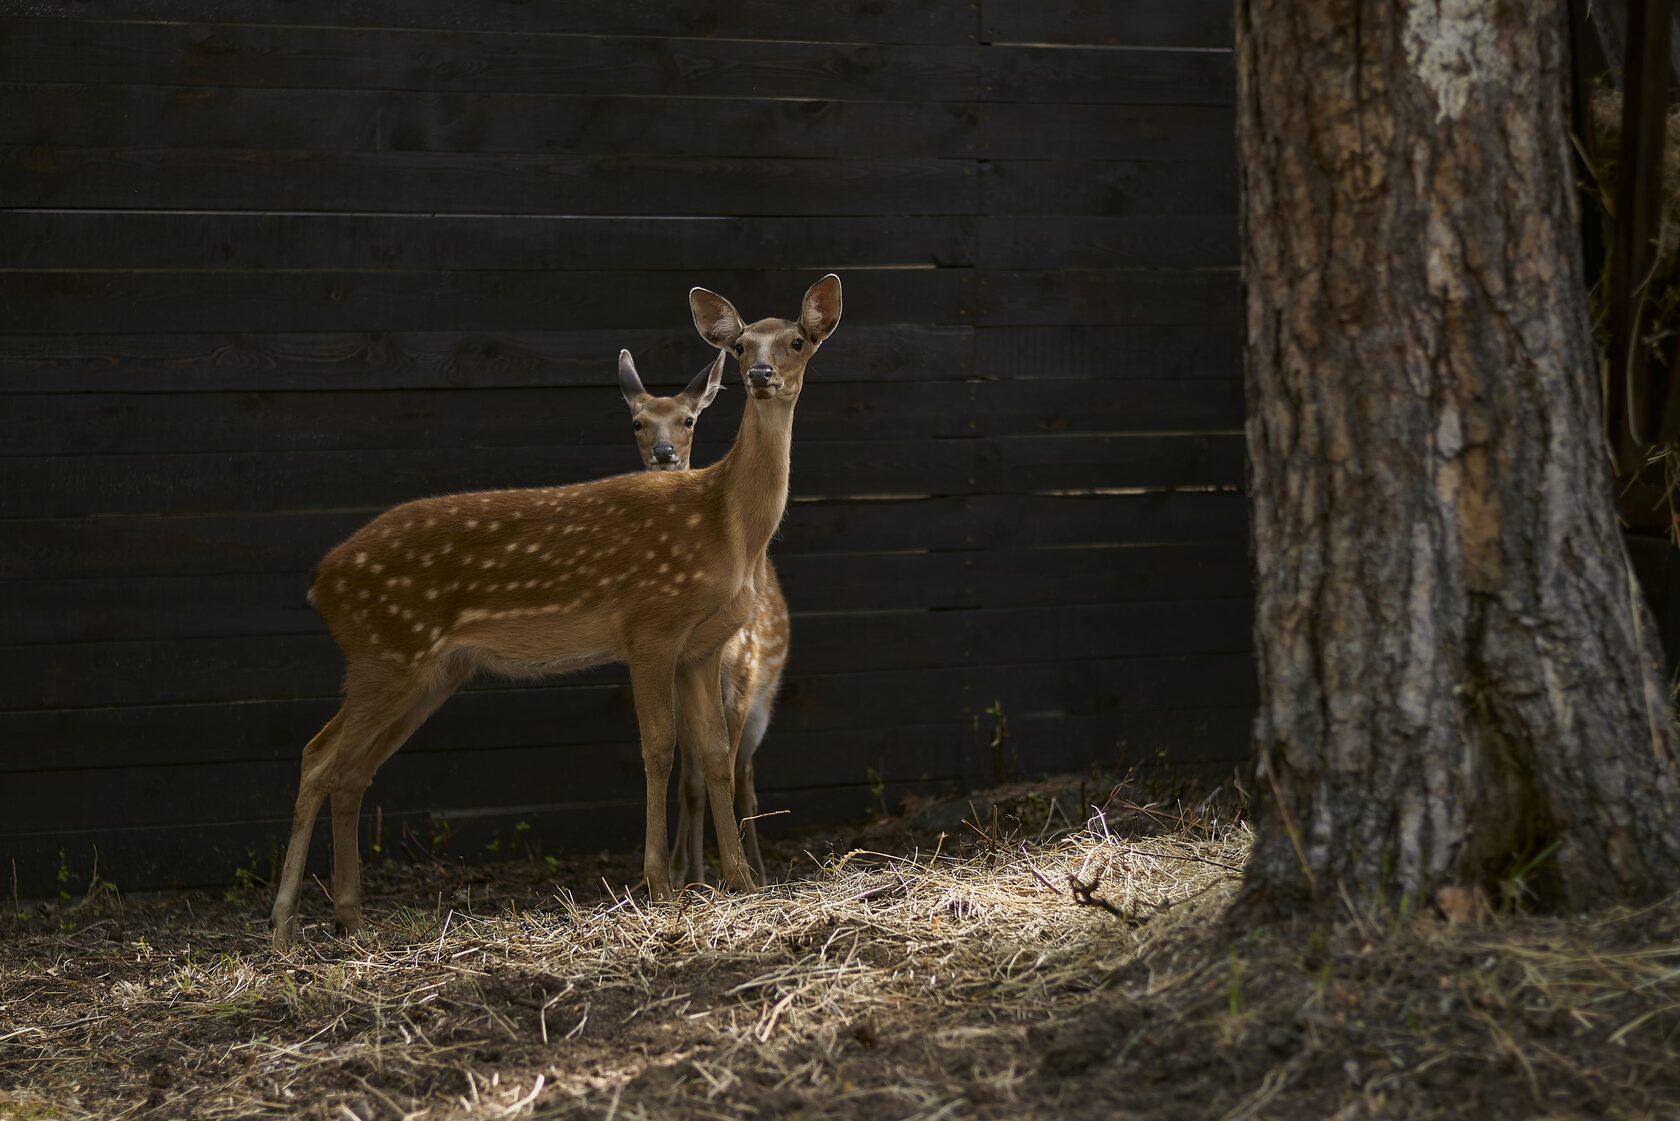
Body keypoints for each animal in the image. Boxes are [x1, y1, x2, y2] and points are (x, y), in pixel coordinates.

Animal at [621, 351, 789, 887]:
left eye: (689, 419)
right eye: (638, 421)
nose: (664, 452)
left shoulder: (742, 679)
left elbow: (725, 772)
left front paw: (728, 875)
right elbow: (689, 782)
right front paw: (689, 876)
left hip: (763, 700)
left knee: (748, 777)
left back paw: (760, 867)